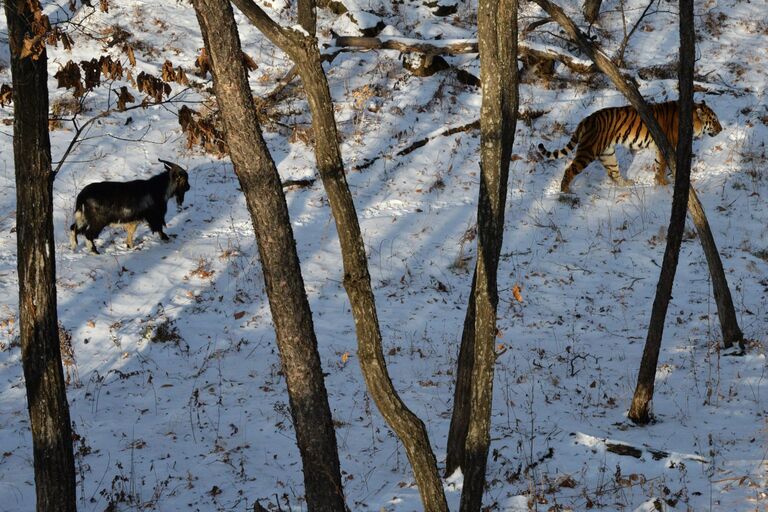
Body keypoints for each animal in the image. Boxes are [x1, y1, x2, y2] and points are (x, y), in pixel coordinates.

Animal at [536, 100, 724, 194]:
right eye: (714, 120)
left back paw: (626, 183)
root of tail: (587, 118)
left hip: (607, 154)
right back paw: (565, 191)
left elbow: (658, 165)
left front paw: (658, 181)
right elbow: (663, 166)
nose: (721, 129)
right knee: (569, 170)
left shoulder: (659, 148)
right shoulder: (666, 146)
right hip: (588, 151)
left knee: (613, 173)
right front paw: (663, 183)